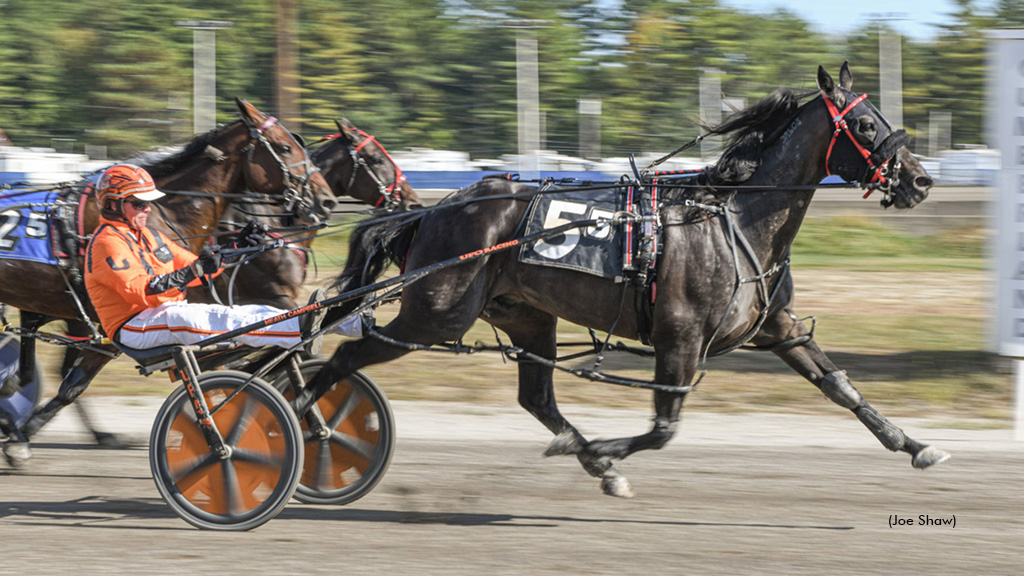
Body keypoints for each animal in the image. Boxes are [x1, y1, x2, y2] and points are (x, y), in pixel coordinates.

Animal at [294, 61, 942, 494]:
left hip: (526, 315)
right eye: (865, 124)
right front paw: (609, 451)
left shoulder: (776, 327)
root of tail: (434, 209)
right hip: (436, 314)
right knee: (345, 356)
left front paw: (914, 444)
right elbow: (663, 428)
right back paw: (299, 417)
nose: (919, 179)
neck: (733, 219)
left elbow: (841, 387)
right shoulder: (679, 337)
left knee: (536, 397)